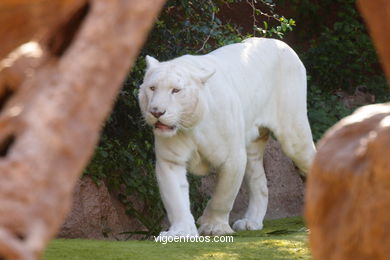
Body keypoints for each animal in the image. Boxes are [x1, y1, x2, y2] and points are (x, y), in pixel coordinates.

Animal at [139, 37, 316, 237]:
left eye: (175, 90)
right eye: (152, 88)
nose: (156, 111)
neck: (191, 126)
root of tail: (280, 43)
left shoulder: (232, 158)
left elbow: (223, 196)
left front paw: (213, 226)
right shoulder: (170, 160)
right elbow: (175, 198)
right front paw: (180, 232)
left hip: (293, 135)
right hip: (252, 148)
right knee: (260, 183)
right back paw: (250, 222)